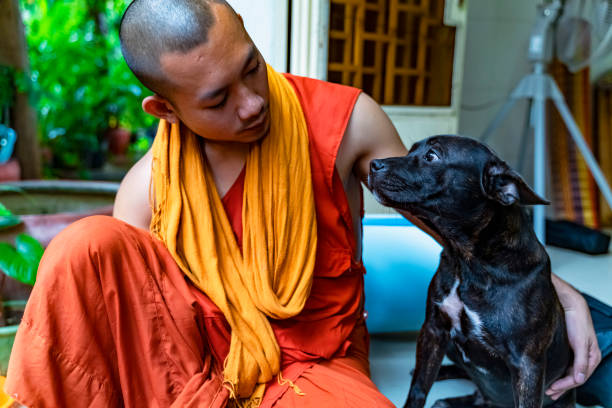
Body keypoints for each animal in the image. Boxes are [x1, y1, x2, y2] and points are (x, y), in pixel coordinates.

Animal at [368, 136, 572, 408]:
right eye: (411, 151)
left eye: (432, 156)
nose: (373, 164)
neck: (468, 262)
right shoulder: (433, 331)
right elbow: (419, 386)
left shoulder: (527, 365)